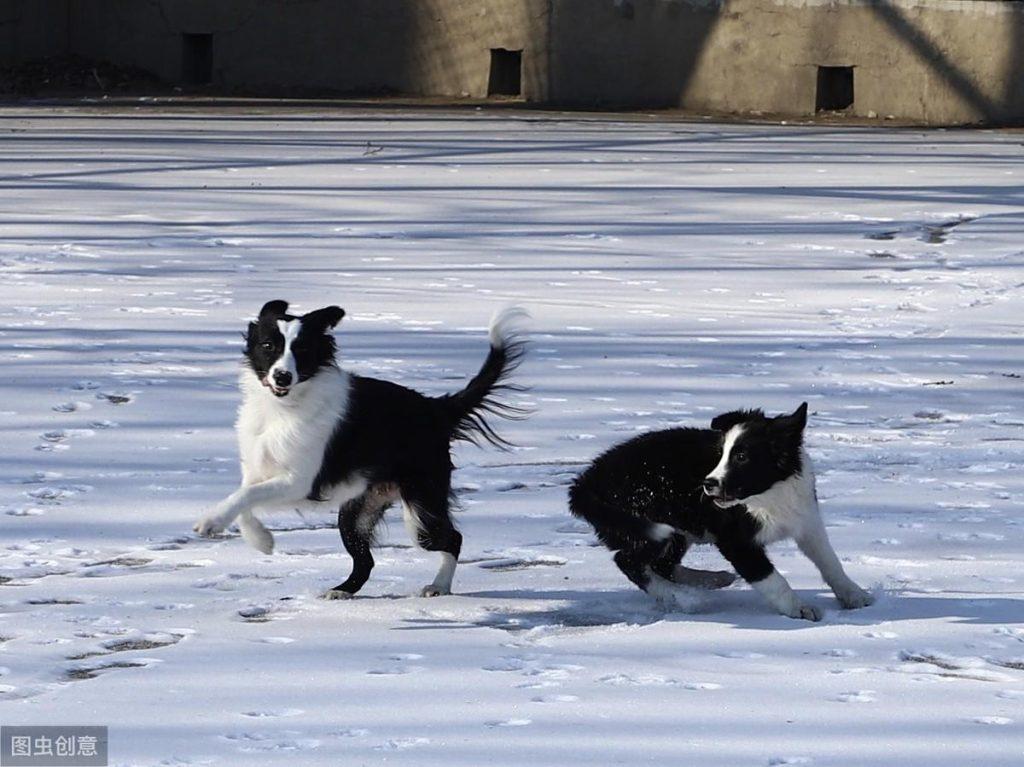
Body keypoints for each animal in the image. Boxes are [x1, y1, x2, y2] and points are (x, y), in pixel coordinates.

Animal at [193, 299, 528, 598]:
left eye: (302, 350)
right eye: (267, 346)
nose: (282, 376)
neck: (283, 408)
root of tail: (435, 408)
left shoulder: (300, 481)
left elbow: (245, 496)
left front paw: (211, 522)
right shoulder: (258, 471)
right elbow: (244, 500)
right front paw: (262, 541)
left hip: (421, 510)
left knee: (452, 539)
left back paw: (439, 586)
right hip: (356, 510)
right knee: (365, 560)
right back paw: (342, 590)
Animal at [569, 403, 872, 618]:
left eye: (741, 456)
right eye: (720, 455)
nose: (708, 484)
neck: (769, 494)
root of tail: (587, 481)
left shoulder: (807, 521)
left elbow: (830, 562)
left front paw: (854, 595)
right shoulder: (736, 541)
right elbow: (771, 578)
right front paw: (797, 608)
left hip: (678, 529)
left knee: (661, 566)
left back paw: (709, 580)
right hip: (649, 524)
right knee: (629, 562)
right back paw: (684, 598)